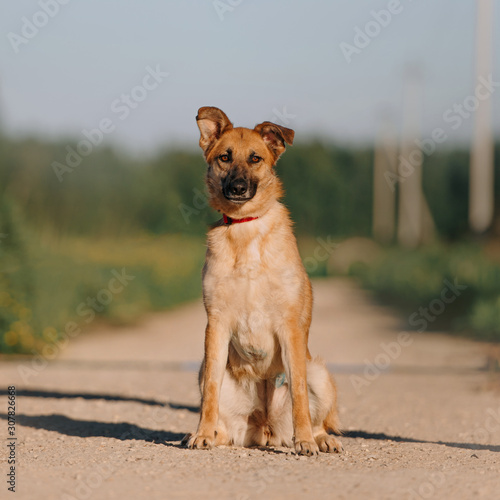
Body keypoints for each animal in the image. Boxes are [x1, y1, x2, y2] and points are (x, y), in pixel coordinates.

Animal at [184, 107, 344, 456]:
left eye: (255, 158)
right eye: (225, 157)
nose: (238, 188)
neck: (245, 227)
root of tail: (267, 426)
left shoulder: (289, 327)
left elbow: (298, 392)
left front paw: (304, 441)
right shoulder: (216, 325)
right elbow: (210, 393)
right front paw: (202, 433)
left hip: (320, 372)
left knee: (317, 415)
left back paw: (320, 438)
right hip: (206, 370)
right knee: (221, 418)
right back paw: (210, 433)